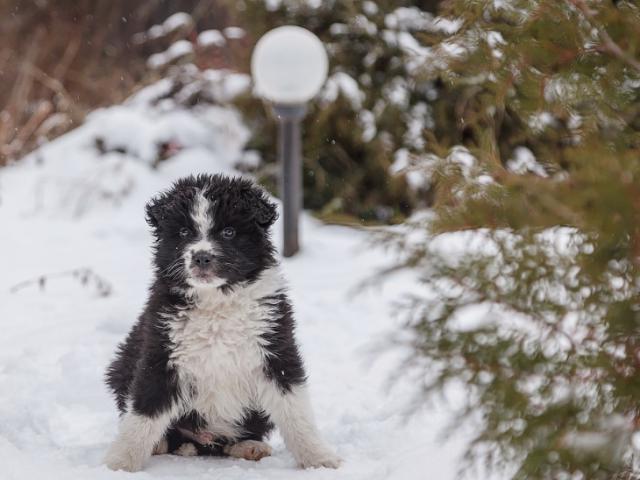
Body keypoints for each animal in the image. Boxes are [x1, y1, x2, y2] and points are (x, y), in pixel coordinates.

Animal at [102, 174, 340, 470]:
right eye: (184, 232)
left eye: (228, 232)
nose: (202, 257)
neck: (216, 303)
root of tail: (203, 439)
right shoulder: (162, 352)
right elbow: (144, 410)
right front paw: (119, 463)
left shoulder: (275, 349)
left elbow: (295, 410)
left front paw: (320, 459)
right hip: (123, 366)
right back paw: (161, 444)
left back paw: (250, 447)